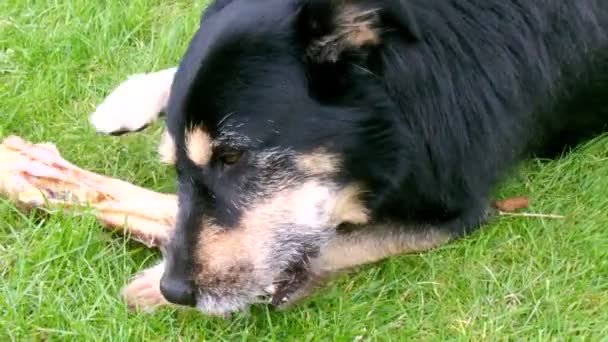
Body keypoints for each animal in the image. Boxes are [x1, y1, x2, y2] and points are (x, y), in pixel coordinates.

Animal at [88, 0, 608, 316]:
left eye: (233, 156)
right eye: (174, 166)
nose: (174, 289)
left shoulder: (456, 208)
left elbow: (334, 241)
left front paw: (151, 286)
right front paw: (138, 95)